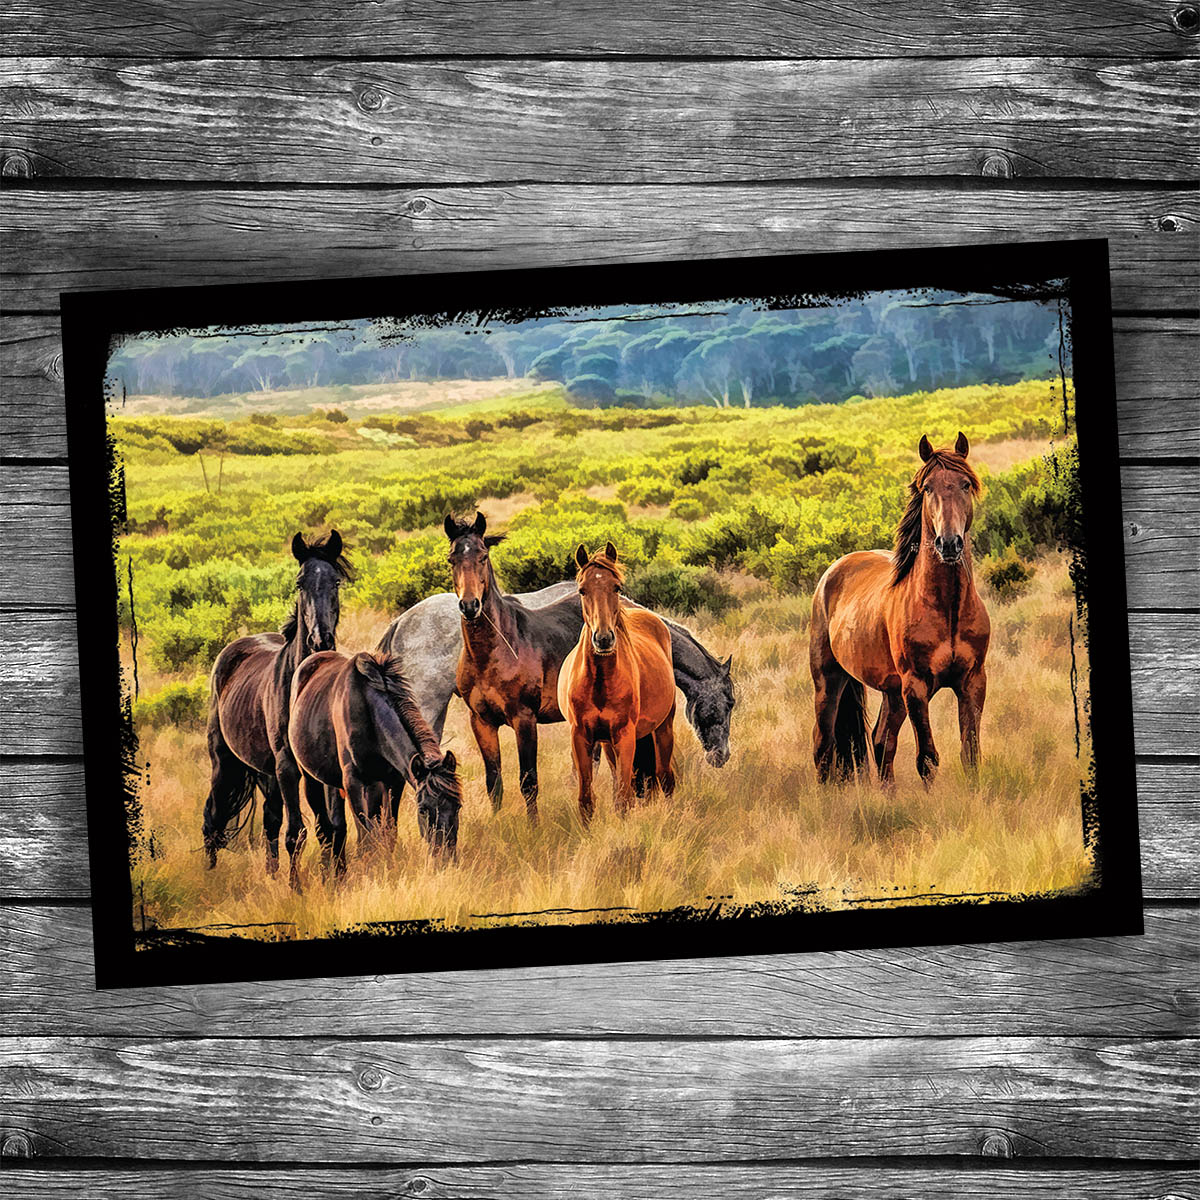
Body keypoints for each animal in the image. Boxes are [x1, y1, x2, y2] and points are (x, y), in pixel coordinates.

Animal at [201, 530, 350, 888]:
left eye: (336, 581)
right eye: (299, 583)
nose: (320, 640)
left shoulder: (323, 767)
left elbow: (332, 827)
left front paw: (336, 879)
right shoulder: (287, 767)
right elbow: (296, 832)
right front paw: (297, 889)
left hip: (268, 773)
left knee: (270, 819)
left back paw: (270, 875)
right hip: (224, 762)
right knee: (213, 814)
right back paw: (210, 875)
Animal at [289, 650, 463, 872]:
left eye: (457, 807)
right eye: (423, 810)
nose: (445, 860)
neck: (368, 712)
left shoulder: (393, 781)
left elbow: (388, 832)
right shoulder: (353, 783)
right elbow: (366, 837)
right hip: (311, 778)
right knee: (325, 827)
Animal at [444, 511, 582, 822]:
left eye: (483, 556)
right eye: (451, 559)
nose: (469, 605)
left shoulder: (524, 719)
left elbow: (528, 780)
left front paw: (534, 828)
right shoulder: (481, 722)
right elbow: (494, 782)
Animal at [558, 543, 677, 821]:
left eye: (617, 587)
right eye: (582, 590)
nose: (603, 639)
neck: (600, 681)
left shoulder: (625, 736)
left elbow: (624, 798)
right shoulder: (582, 736)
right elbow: (587, 800)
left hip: (663, 728)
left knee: (665, 778)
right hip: (607, 743)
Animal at [809, 432, 990, 785]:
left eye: (965, 484)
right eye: (928, 487)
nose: (949, 543)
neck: (947, 609)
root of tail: (832, 572)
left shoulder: (973, 682)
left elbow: (971, 755)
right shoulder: (916, 687)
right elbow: (928, 760)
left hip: (892, 693)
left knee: (882, 742)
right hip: (829, 681)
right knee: (823, 745)